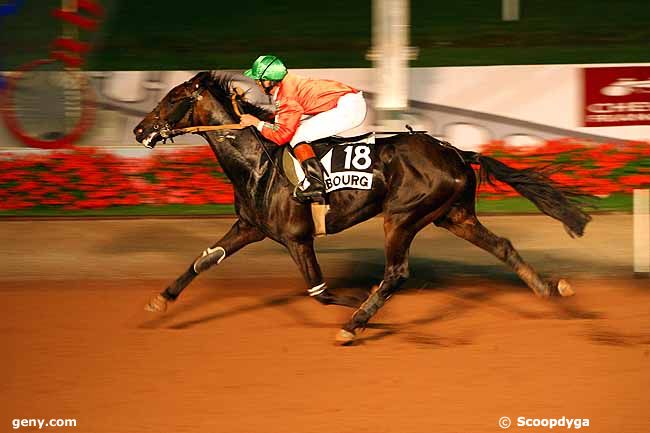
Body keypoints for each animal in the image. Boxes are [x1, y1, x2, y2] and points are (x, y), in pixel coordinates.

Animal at [133, 71, 592, 344]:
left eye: (173, 98)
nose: (139, 130)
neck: (257, 162)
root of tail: (457, 152)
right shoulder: (250, 226)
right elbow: (203, 260)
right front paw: (161, 300)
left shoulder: (297, 238)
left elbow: (320, 292)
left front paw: (358, 304)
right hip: (454, 215)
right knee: (502, 246)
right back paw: (549, 288)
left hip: (403, 216)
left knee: (397, 273)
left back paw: (355, 323)